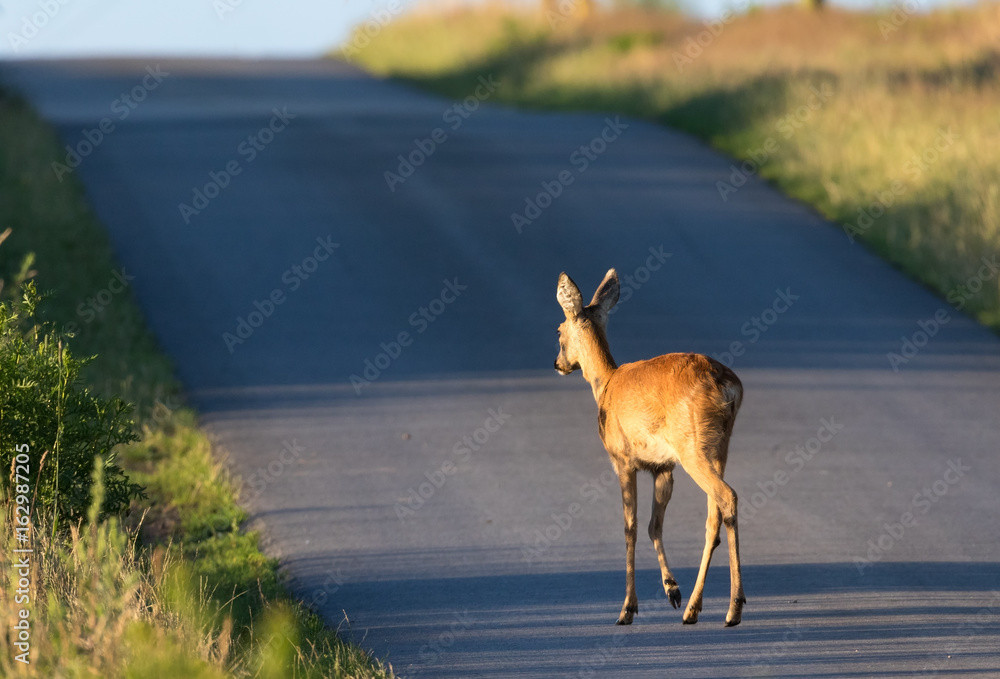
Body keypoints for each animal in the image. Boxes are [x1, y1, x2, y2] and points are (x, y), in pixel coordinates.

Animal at [554, 268, 746, 626]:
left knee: (727, 497)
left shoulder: (622, 459)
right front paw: (672, 590)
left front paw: (627, 608)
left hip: (692, 446)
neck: (605, 385)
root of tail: (727, 386)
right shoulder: (663, 467)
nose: (557, 363)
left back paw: (733, 609)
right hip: (718, 446)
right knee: (713, 516)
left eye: (558, 329)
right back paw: (693, 608)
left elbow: (629, 526)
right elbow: (654, 526)